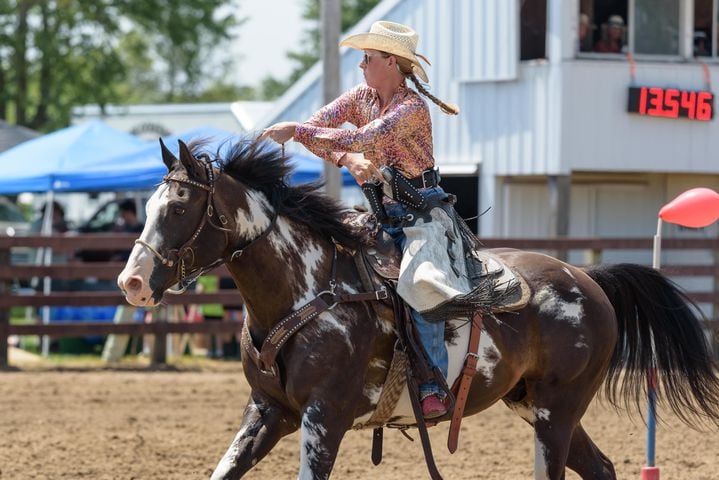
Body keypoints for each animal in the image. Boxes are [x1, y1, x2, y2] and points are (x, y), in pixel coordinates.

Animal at [118, 140, 719, 480]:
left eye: (179, 208)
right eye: (148, 206)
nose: (132, 282)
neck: (305, 290)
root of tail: (588, 279)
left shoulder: (323, 417)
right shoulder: (267, 412)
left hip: (558, 411)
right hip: (535, 406)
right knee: (600, 468)